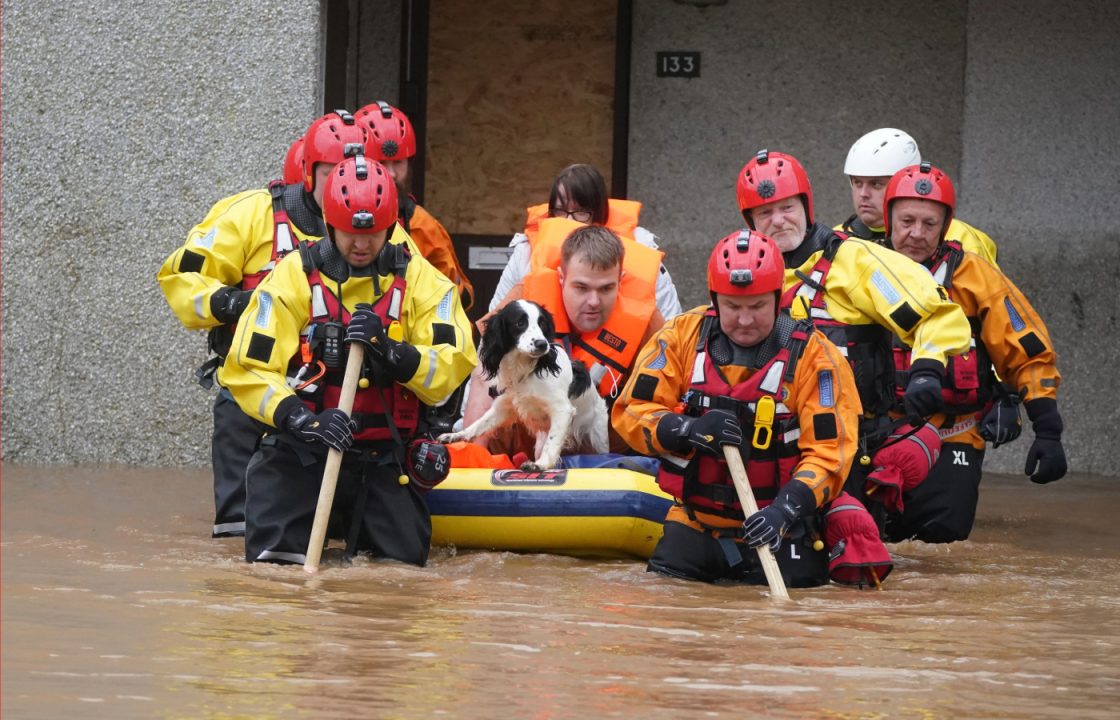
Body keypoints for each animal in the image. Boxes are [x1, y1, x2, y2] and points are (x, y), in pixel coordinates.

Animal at [439, 300, 613, 472]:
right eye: (520, 323)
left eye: (542, 324)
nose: (542, 344)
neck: (526, 370)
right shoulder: (503, 407)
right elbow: (479, 423)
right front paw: (456, 436)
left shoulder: (563, 410)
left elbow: (552, 443)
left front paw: (541, 465)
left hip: (599, 440)